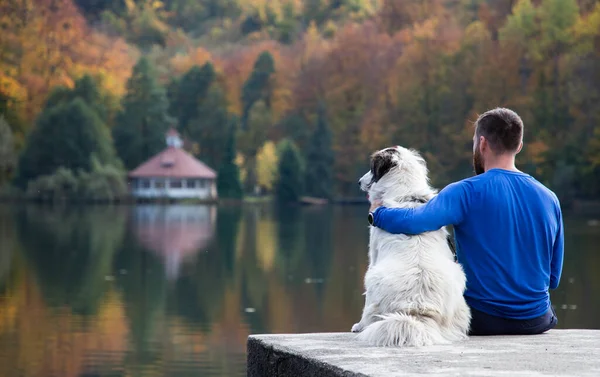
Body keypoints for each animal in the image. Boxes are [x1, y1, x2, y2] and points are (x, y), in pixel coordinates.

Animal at [352, 145, 474, 346]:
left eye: (371, 168)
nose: (359, 182)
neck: (406, 194)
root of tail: (417, 310)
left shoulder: (373, 256)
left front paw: (358, 325)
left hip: (372, 277)